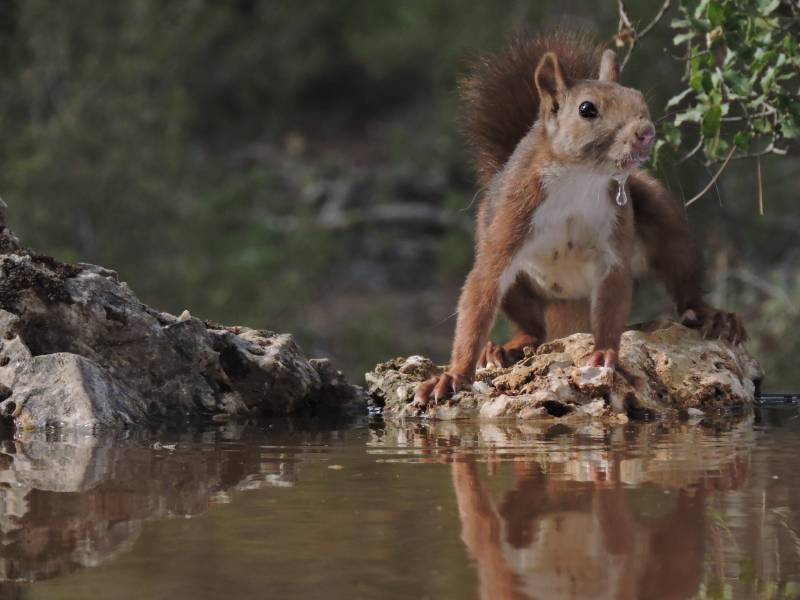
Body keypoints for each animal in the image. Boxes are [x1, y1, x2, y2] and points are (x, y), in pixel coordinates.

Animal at [416, 31, 748, 404]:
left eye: (638, 98)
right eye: (587, 109)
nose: (646, 133)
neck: (580, 178)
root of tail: (570, 308)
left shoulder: (614, 242)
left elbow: (612, 300)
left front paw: (604, 354)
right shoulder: (511, 219)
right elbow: (481, 291)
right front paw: (453, 376)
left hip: (660, 211)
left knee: (682, 279)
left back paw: (712, 316)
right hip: (509, 269)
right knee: (532, 328)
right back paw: (504, 349)